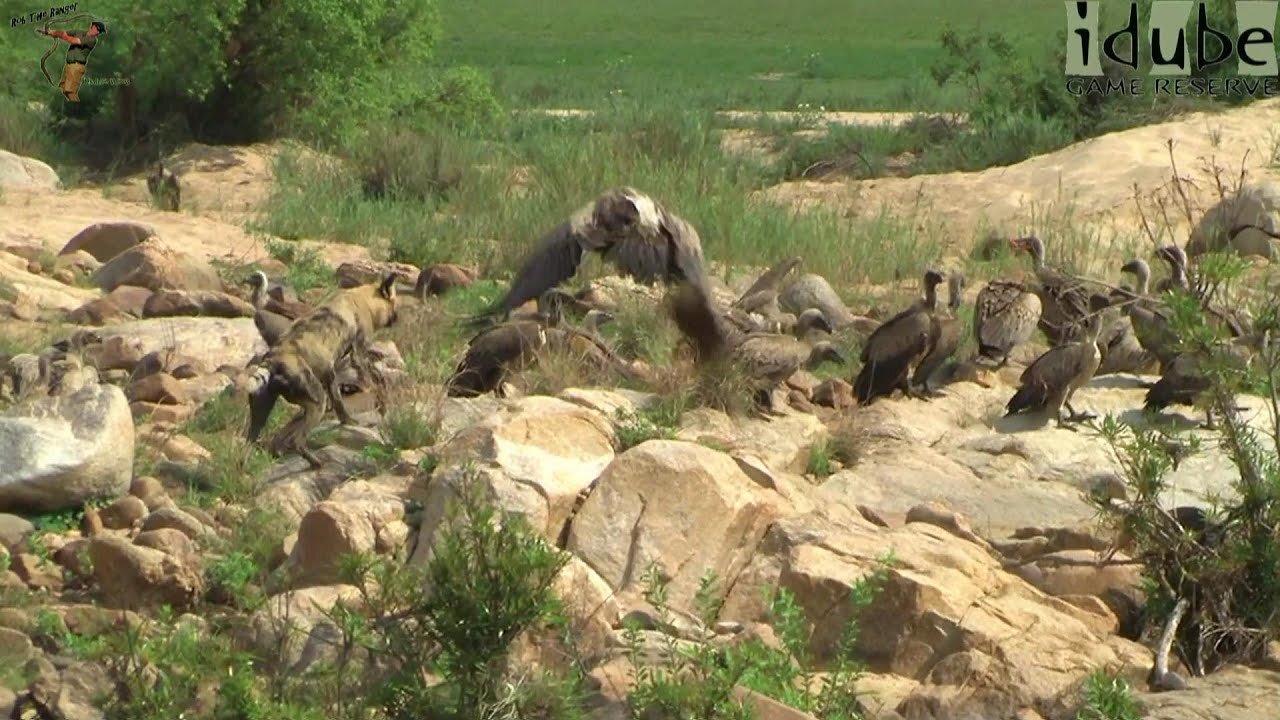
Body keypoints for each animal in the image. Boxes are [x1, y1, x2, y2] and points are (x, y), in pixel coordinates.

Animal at [241, 270, 396, 466]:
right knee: (296, 440)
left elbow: (337, 405)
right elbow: (367, 387)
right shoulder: (357, 355)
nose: (397, 317)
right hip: (318, 403)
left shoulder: (330, 374)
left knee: (249, 445)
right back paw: (316, 463)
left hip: (261, 415)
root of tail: (272, 360)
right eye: (394, 302)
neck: (362, 299)